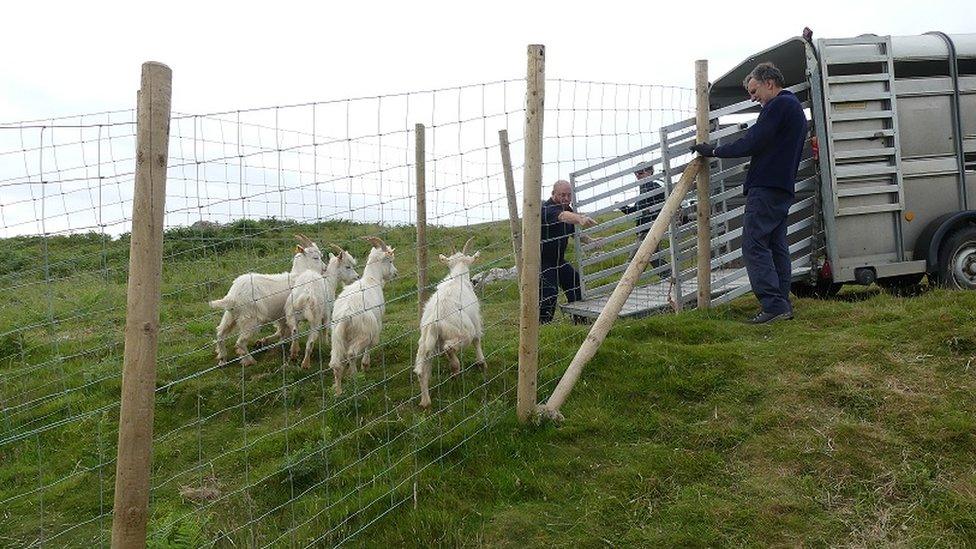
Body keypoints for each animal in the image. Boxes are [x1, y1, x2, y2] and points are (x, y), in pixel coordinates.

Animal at [210, 233, 328, 366]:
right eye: (316, 257)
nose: (325, 268)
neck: (299, 274)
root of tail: (233, 296)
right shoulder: (287, 315)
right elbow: (284, 332)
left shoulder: (282, 317)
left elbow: (282, 332)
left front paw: (269, 343)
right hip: (251, 319)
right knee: (240, 342)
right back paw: (250, 361)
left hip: (230, 315)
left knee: (220, 333)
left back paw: (222, 359)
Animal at [330, 235, 398, 394]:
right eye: (390, 261)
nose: (395, 273)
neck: (372, 280)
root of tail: (345, 315)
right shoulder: (376, 324)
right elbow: (370, 346)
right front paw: (365, 365)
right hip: (363, 333)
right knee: (351, 353)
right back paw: (355, 377)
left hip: (336, 337)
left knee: (336, 362)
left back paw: (338, 390)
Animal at [414, 239, 486, 406]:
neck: (457, 278)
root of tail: (434, 321)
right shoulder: (476, 318)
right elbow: (477, 339)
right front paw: (481, 363)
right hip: (463, 333)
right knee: (449, 347)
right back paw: (455, 369)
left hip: (425, 343)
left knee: (421, 371)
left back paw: (425, 402)